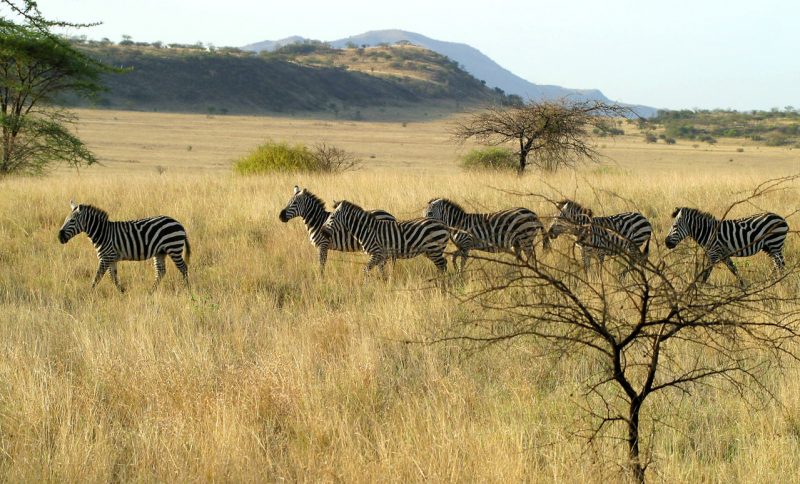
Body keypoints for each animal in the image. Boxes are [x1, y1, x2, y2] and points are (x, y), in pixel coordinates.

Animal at [57, 200, 191, 292]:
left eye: (72, 221)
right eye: (65, 219)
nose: (59, 237)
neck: (103, 233)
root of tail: (178, 223)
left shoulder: (105, 258)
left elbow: (97, 277)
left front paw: (89, 293)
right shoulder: (111, 259)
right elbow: (113, 276)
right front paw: (121, 291)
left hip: (174, 248)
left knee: (183, 268)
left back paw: (187, 289)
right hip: (160, 252)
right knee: (161, 272)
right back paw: (151, 291)